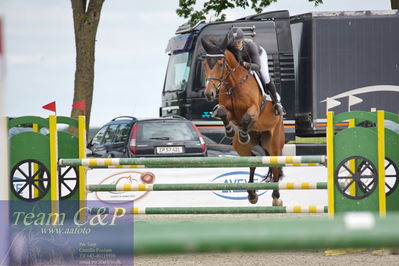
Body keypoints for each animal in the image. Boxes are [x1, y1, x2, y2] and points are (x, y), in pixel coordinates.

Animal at [202, 35, 286, 206]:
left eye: (220, 64)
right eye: (205, 64)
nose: (209, 93)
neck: (234, 84)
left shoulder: (254, 110)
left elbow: (247, 117)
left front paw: (242, 134)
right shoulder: (228, 111)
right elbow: (222, 112)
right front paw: (231, 131)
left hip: (274, 142)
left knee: (274, 165)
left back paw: (276, 197)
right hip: (242, 148)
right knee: (252, 161)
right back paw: (252, 194)